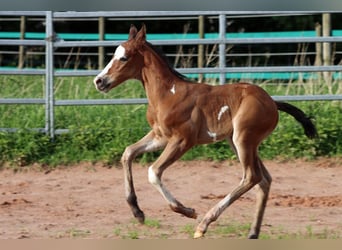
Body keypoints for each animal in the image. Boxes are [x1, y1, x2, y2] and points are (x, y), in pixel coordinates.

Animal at [93, 24, 318, 238]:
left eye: (123, 57)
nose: (99, 81)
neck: (168, 94)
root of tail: (272, 102)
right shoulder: (160, 136)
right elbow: (128, 153)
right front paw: (138, 212)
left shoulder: (182, 140)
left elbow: (153, 172)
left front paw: (187, 211)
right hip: (238, 142)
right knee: (264, 180)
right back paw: (252, 233)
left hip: (243, 139)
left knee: (251, 177)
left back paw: (204, 224)